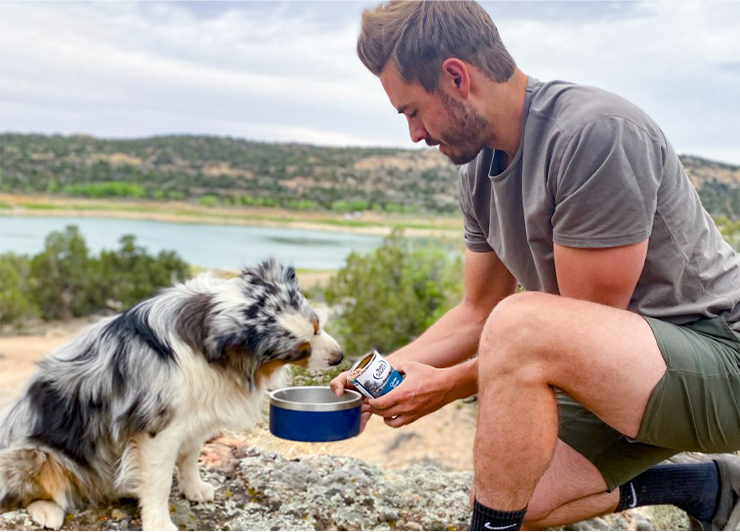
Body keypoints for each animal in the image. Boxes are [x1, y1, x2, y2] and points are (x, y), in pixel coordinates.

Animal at [0, 260, 342, 528]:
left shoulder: (196, 414)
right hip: (35, 454)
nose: (340, 357)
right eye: (300, 350)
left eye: (317, 325)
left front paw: (195, 489)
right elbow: (159, 482)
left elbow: (190, 458)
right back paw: (47, 511)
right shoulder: (158, 428)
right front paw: (159, 523)